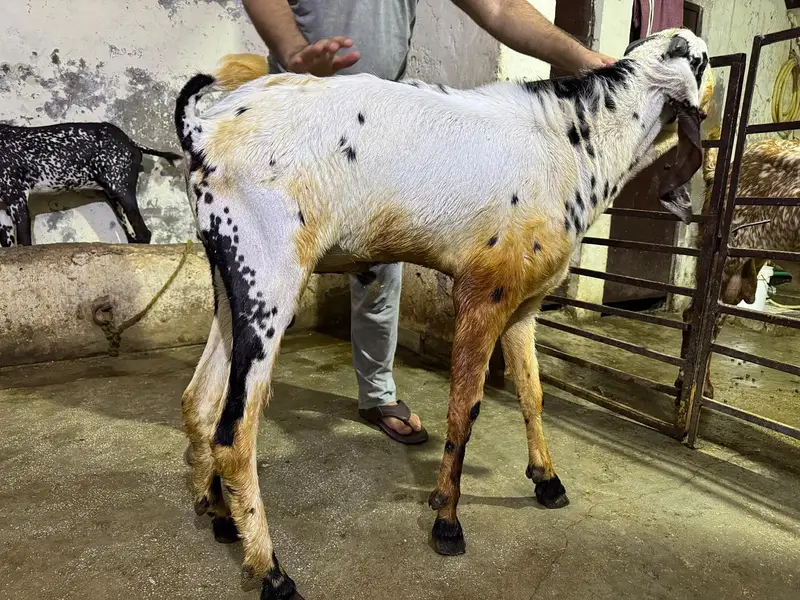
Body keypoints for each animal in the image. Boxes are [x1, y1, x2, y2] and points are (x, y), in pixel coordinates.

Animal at [0, 122, 181, 247]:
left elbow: (24, 242)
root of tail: (131, 141)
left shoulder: (17, 199)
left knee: (144, 234)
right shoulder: (3, 212)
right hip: (116, 202)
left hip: (122, 190)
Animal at [175, 28, 712, 599]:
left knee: (199, 400)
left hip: (229, 277)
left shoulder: (524, 304)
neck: (577, 138)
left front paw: (547, 479)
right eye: (702, 62)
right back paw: (272, 571)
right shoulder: (484, 291)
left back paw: (219, 516)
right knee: (234, 434)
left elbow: (532, 392)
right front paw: (447, 521)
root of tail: (202, 127)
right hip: (269, 272)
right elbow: (465, 407)